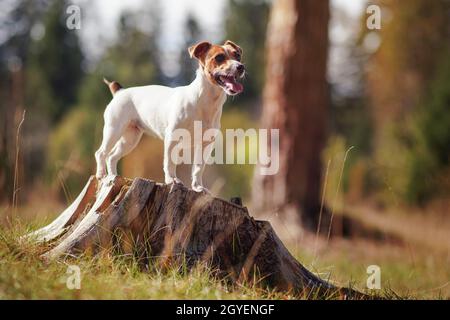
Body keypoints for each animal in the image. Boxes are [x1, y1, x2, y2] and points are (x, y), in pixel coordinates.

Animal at [93, 38, 244, 191]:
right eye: (219, 57)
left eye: (237, 55)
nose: (241, 67)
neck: (205, 101)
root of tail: (119, 92)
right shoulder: (173, 138)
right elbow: (170, 162)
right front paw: (172, 180)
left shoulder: (206, 145)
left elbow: (198, 168)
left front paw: (198, 187)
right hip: (114, 130)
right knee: (101, 153)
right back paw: (101, 174)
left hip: (130, 139)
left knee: (112, 156)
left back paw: (113, 176)